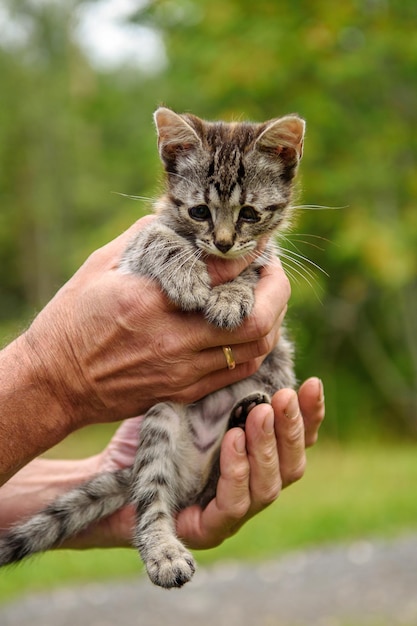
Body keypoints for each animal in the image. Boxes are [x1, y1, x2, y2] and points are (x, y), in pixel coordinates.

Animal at [0, 106, 306, 584]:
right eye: (199, 211)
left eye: (250, 214)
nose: (223, 242)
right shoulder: (131, 253)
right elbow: (154, 238)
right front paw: (186, 274)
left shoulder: (265, 257)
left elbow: (253, 266)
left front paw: (231, 294)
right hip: (160, 420)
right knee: (153, 501)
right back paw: (164, 551)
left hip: (272, 387)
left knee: (211, 485)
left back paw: (242, 417)